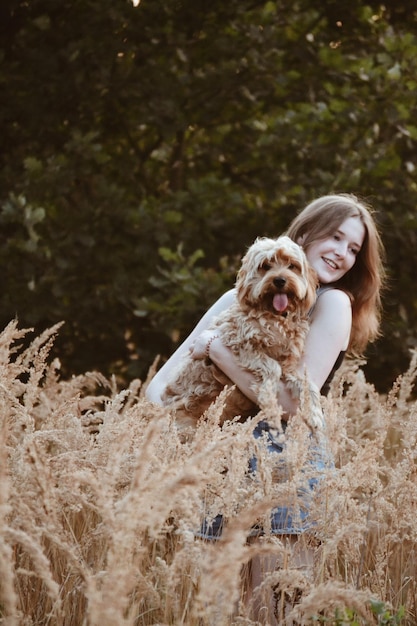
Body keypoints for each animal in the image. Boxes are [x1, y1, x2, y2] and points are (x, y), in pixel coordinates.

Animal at [161, 236, 320, 432]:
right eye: (266, 266)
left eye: (292, 265)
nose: (280, 280)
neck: (275, 316)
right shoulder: (239, 343)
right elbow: (272, 368)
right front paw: (269, 399)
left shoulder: (289, 364)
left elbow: (307, 383)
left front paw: (314, 413)